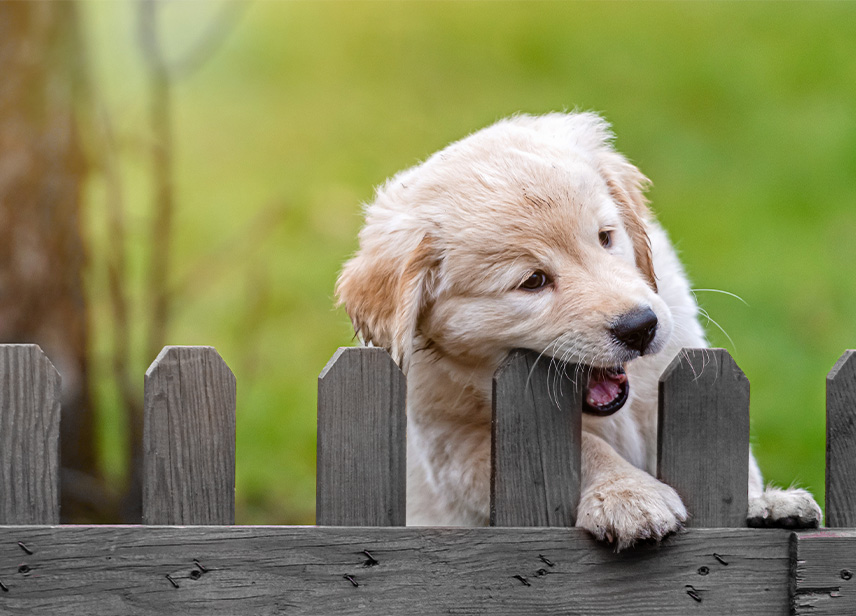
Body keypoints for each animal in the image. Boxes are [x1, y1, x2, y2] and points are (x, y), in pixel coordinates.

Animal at [336, 112, 824, 548]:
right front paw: (627, 495)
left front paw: (761, 501)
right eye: (533, 281)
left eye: (606, 238)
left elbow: (719, 447)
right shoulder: (457, 444)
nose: (641, 327)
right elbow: (587, 449)